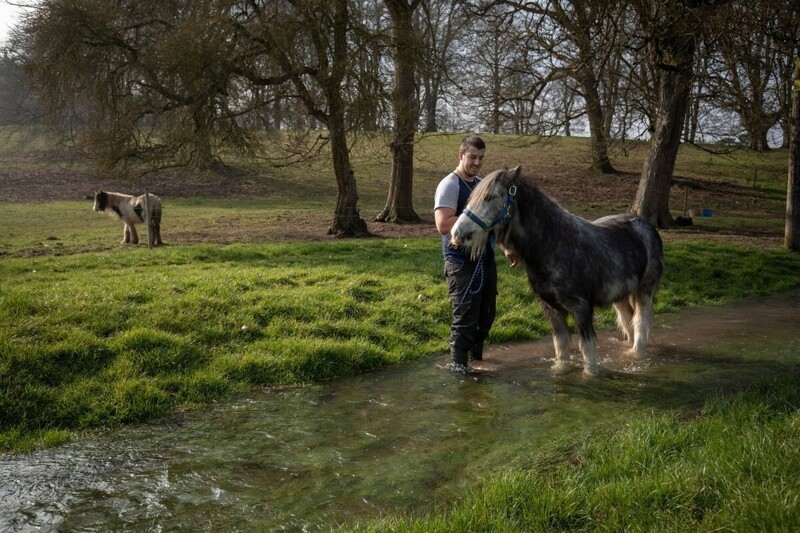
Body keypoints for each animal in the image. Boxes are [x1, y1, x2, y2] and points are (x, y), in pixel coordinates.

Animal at [450, 166, 664, 374]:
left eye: (489, 197)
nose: (457, 233)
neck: (552, 244)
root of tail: (645, 224)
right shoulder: (551, 309)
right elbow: (561, 349)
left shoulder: (581, 309)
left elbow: (588, 352)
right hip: (619, 298)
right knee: (628, 324)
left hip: (644, 291)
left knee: (640, 326)